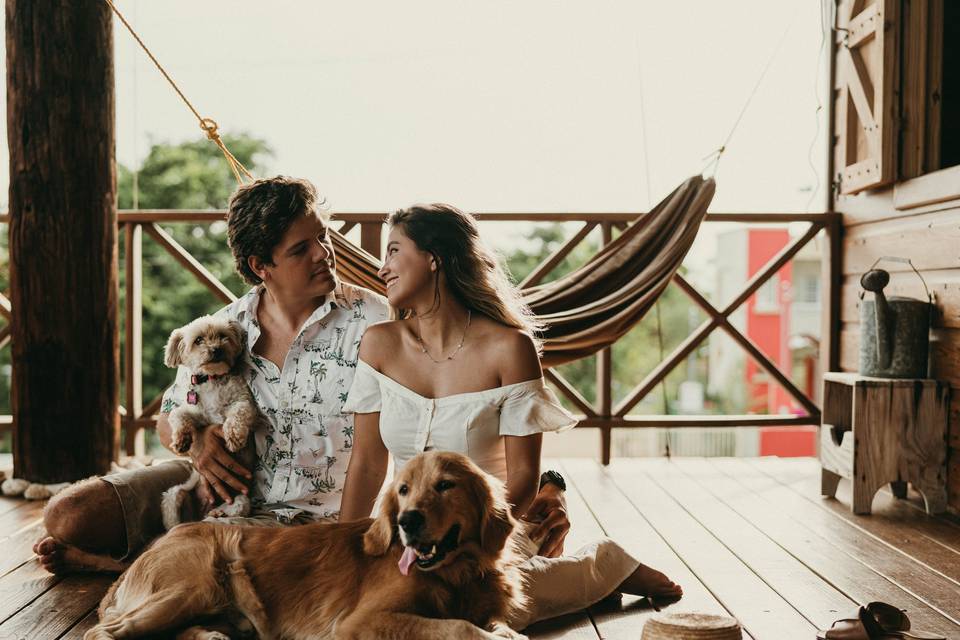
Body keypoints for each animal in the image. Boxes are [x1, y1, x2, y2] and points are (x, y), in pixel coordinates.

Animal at [84, 450, 524, 640]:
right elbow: (458, 626)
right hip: (195, 584)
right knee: (103, 633)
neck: (457, 574)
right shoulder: (361, 622)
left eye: (446, 485)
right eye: (403, 490)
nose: (407, 521)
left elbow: (487, 622)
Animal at [160, 316, 258, 528]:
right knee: (174, 522)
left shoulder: (244, 402)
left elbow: (238, 413)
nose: (216, 349)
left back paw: (218, 513)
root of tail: (201, 511)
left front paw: (234, 437)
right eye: (198, 340)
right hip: (173, 496)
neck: (213, 379)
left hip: (242, 499)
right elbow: (177, 413)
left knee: (233, 508)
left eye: (223, 336)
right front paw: (181, 440)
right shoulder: (198, 413)